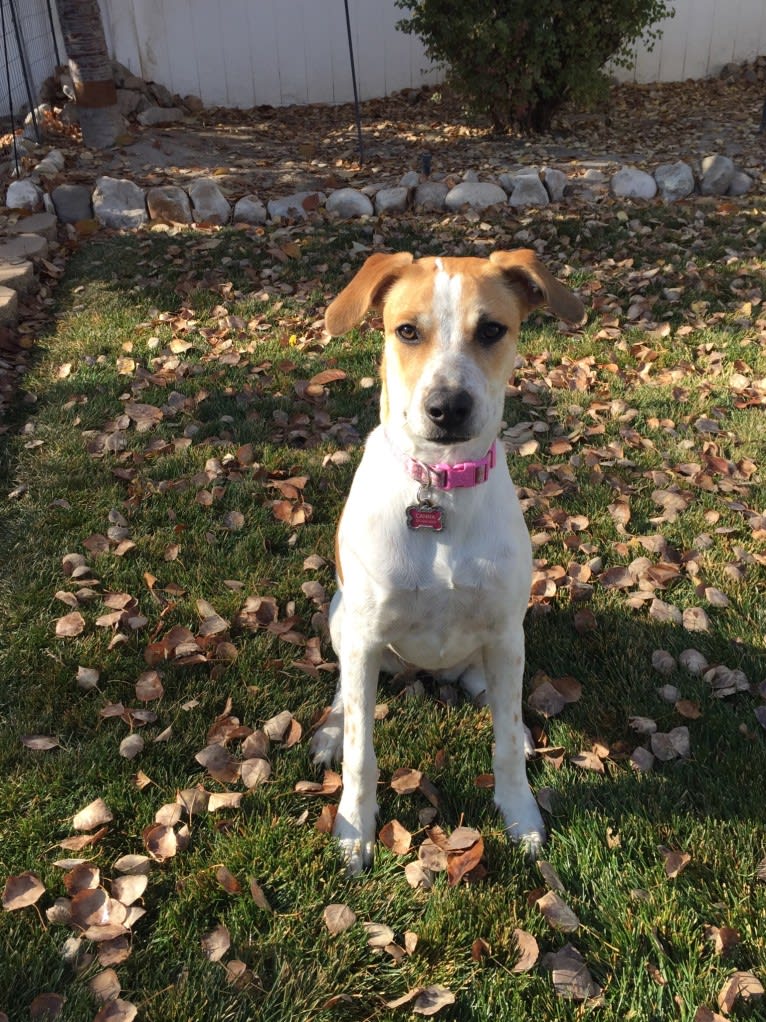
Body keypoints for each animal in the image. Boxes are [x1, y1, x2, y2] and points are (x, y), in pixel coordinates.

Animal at [308, 247, 584, 870]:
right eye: (407, 330)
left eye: (492, 330)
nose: (447, 408)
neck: (440, 485)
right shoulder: (363, 635)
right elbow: (362, 752)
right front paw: (354, 829)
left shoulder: (506, 632)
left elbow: (502, 742)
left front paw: (520, 815)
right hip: (340, 616)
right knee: (344, 696)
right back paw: (331, 729)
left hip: (502, 645)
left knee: (496, 697)